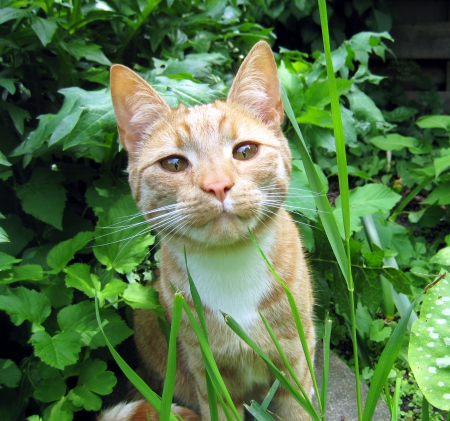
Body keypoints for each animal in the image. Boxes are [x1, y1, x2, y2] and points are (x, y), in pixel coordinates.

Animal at [100, 41, 314, 420]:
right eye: (174, 164)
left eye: (245, 151)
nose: (217, 185)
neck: (231, 267)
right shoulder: (209, 378)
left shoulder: (297, 366)